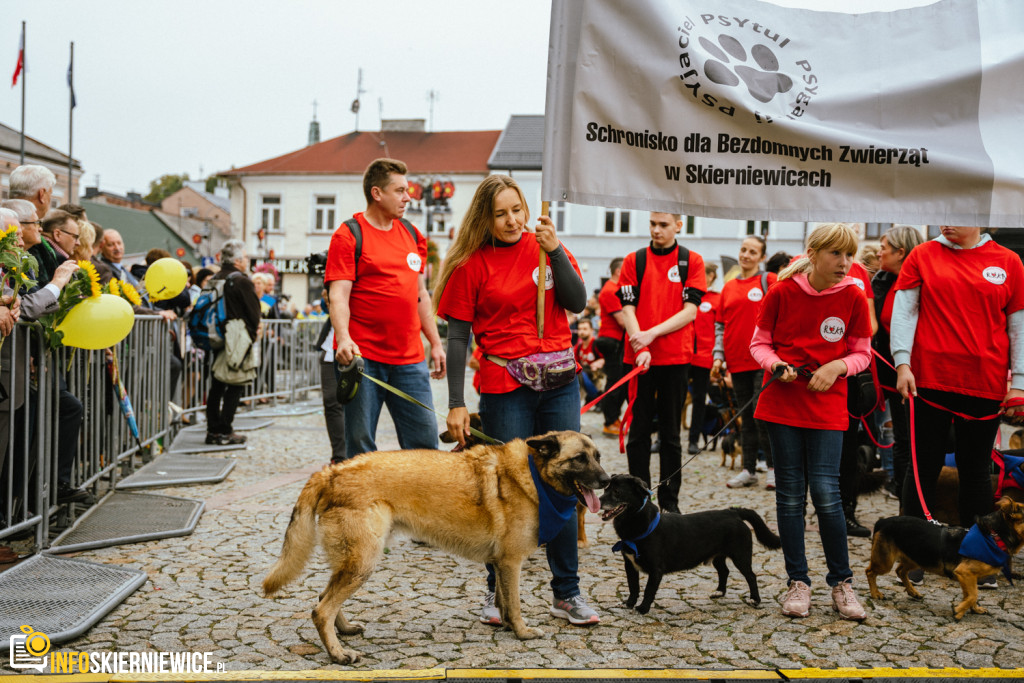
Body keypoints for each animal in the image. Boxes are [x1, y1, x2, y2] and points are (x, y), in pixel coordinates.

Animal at [262, 432, 606, 663]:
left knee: (323, 599)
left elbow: (504, 601)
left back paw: (344, 632)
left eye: (598, 456)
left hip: (354, 564)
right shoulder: (511, 563)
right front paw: (522, 633)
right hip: (363, 563)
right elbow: (516, 604)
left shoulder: (500, 564)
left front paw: (508, 627)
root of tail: (330, 471)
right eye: (579, 459)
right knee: (321, 610)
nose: (606, 480)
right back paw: (338, 654)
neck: (532, 475)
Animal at [598, 475, 778, 614]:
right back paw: (719, 592)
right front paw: (628, 604)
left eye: (617, 492)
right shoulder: (629, 564)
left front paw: (643, 608)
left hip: (740, 556)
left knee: (751, 576)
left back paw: (755, 600)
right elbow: (633, 586)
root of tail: (732, 512)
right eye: (606, 489)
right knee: (724, 571)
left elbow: (648, 590)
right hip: (718, 556)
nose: (598, 500)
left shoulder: (656, 570)